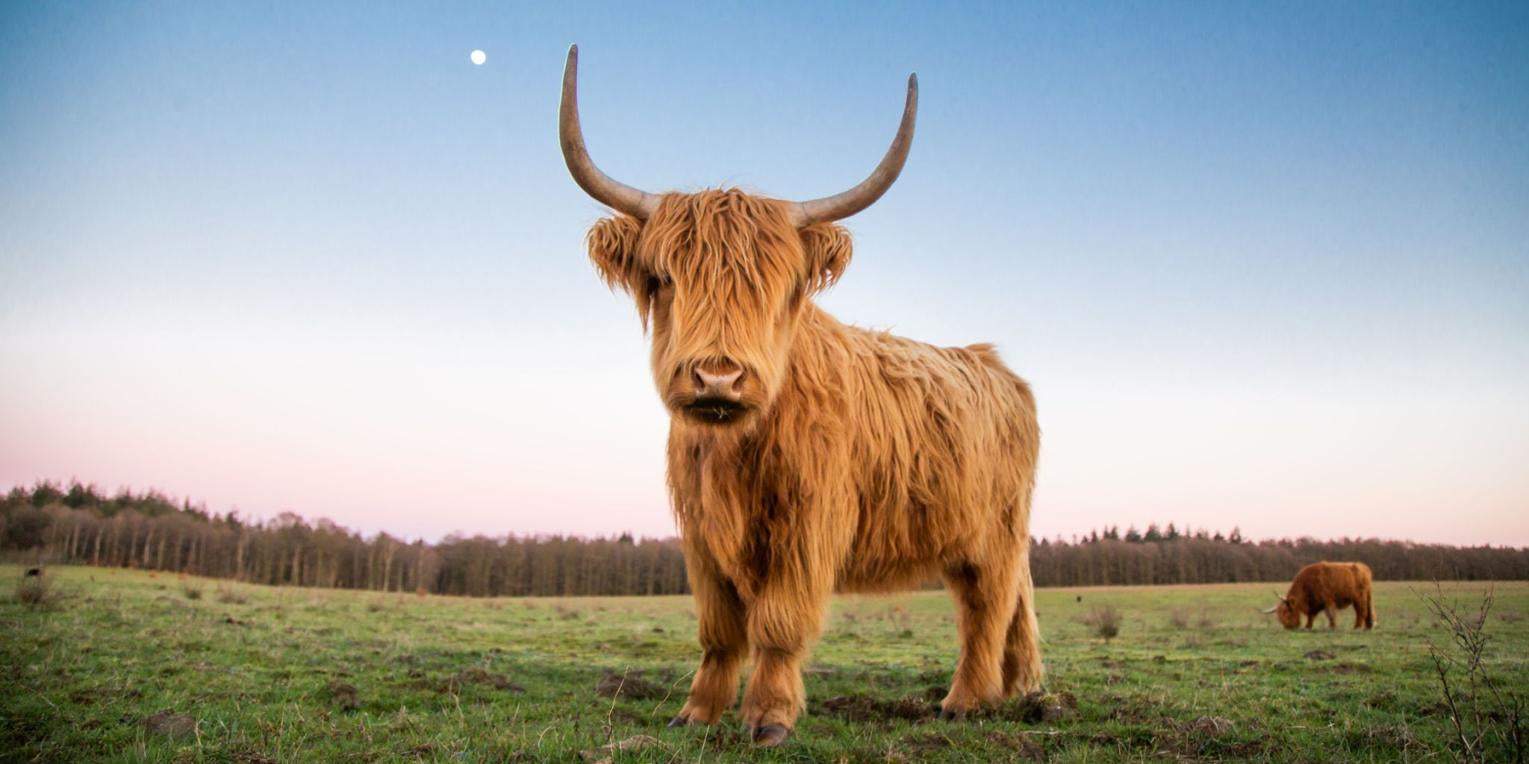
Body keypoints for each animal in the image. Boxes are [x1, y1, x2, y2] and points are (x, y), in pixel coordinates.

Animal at [558, 46, 1042, 746]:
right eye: (665, 278)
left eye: (781, 286)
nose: (718, 378)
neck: (734, 451)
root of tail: (994, 363)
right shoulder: (699, 533)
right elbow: (718, 629)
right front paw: (696, 713)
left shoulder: (808, 523)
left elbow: (778, 623)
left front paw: (769, 718)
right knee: (1009, 605)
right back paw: (1019, 690)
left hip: (995, 533)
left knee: (987, 608)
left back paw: (966, 701)